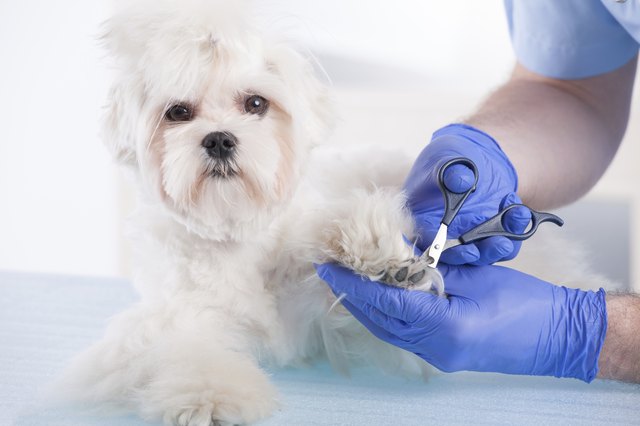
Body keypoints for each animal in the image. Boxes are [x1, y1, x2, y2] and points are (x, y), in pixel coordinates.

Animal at [58, 1, 616, 424]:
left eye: (255, 103)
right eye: (178, 112)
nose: (218, 139)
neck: (239, 236)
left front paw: (376, 253)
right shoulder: (182, 316)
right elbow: (188, 351)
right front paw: (211, 398)